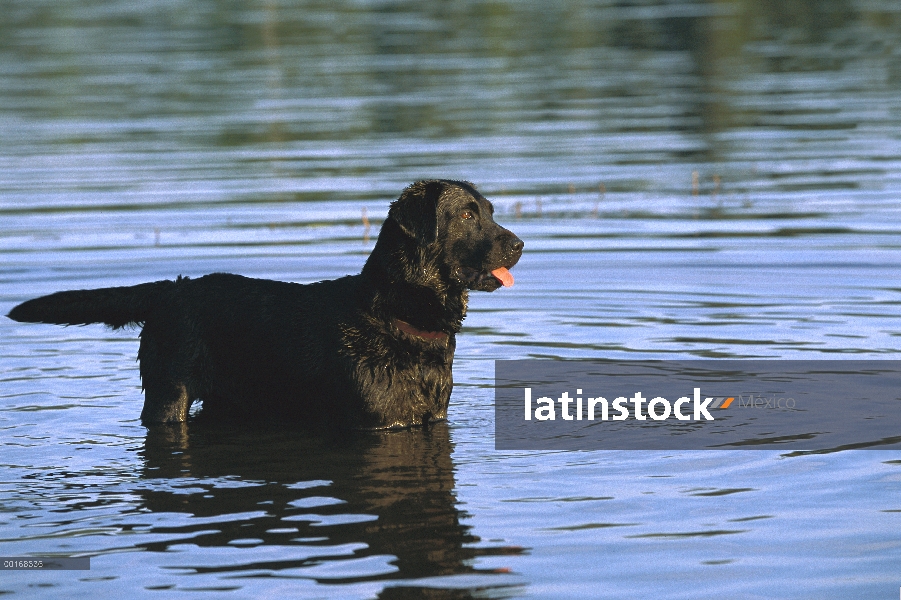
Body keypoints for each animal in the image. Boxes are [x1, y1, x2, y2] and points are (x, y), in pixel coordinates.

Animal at [7, 180, 524, 428]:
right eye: (466, 215)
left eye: (491, 212)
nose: (519, 244)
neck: (394, 316)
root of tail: (173, 287)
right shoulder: (376, 421)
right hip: (168, 394)